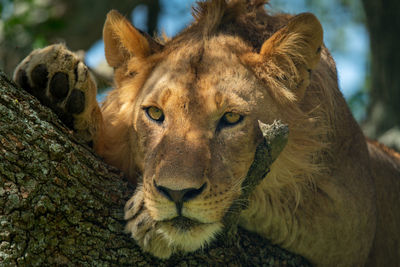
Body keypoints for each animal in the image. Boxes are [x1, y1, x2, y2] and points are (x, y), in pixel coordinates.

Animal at [12, 0, 400, 266]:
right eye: (155, 114)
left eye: (231, 118)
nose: (176, 194)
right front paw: (57, 85)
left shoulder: (355, 219)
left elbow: (265, 196)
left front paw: (152, 220)